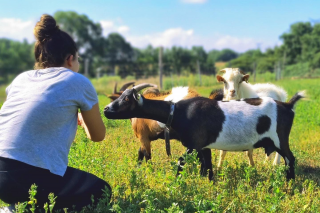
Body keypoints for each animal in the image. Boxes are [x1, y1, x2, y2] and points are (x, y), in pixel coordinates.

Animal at [104, 84, 304, 181]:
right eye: (121, 97)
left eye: (127, 99)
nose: (106, 109)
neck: (177, 111)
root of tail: (287, 105)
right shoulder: (204, 146)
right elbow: (207, 167)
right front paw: (210, 184)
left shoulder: (194, 144)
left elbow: (181, 161)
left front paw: (177, 182)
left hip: (280, 139)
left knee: (290, 158)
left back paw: (290, 183)